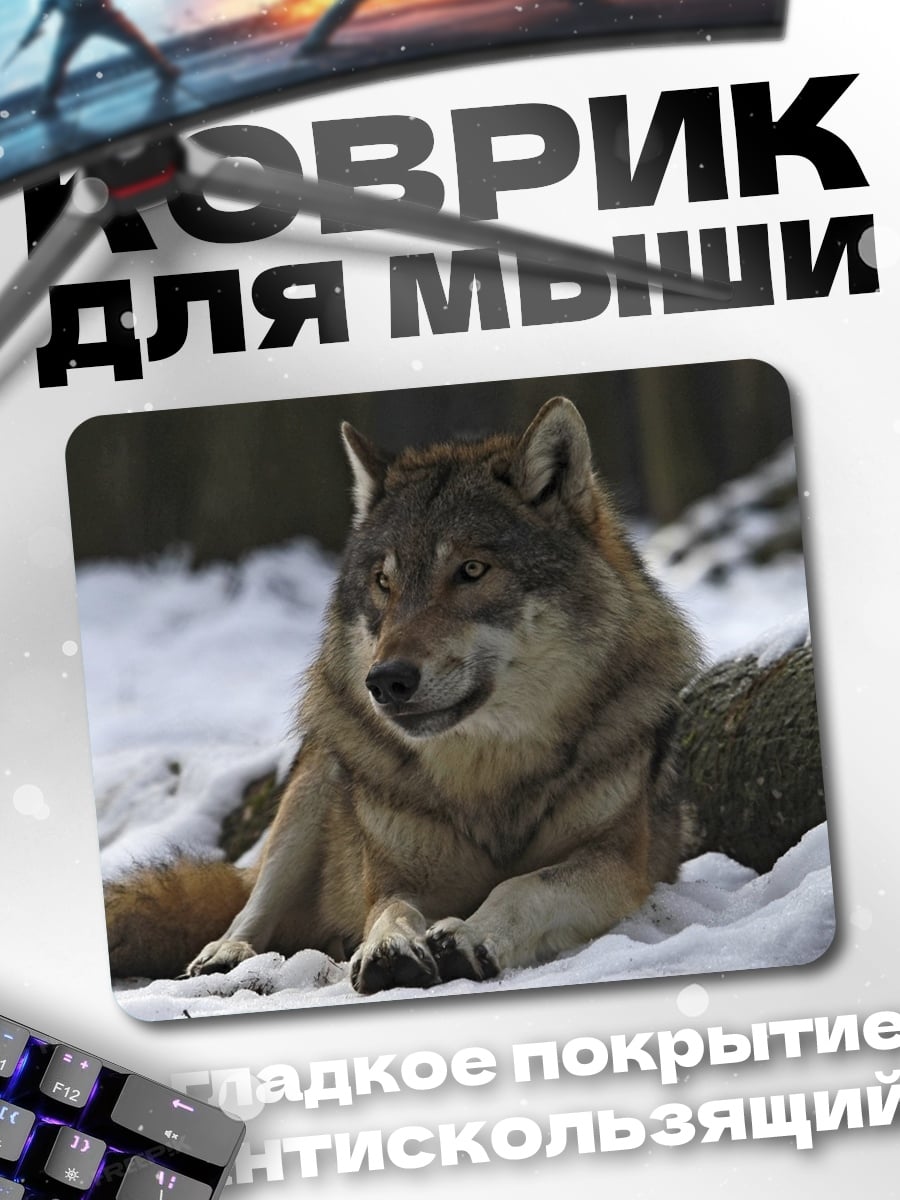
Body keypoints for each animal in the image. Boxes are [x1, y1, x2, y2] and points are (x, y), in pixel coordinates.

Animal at [105, 397, 701, 994]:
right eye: (383, 583)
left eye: (471, 570)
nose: (386, 681)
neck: (488, 777)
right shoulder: (395, 876)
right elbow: (391, 909)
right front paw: (390, 947)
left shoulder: (618, 864)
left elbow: (522, 885)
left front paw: (469, 935)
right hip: (316, 782)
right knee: (252, 903)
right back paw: (226, 956)